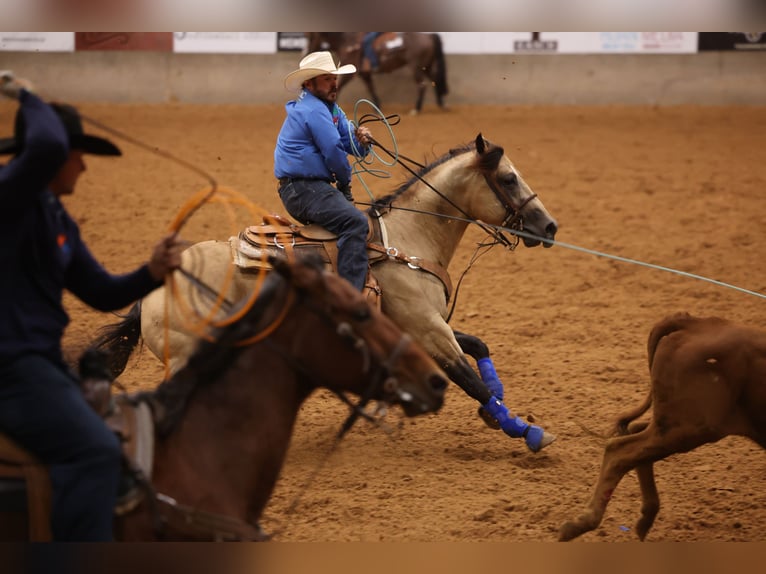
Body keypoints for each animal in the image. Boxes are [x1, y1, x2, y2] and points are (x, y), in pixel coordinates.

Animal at [108, 133, 559, 454]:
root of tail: (156, 288)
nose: (550, 226)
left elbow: (479, 347)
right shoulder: (428, 330)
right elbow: (467, 379)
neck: (408, 240)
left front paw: (497, 401)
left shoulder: (419, 327)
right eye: (508, 178)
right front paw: (527, 430)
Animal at [305, 32, 448, 115]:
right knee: (435, 80)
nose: (308, 52)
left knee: (422, 85)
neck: (347, 40)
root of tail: (429, 35)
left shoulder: (350, 71)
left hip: (417, 66)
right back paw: (442, 104)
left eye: (311, 36)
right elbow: (371, 87)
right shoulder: (363, 73)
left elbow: (338, 86)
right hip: (427, 66)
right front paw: (377, 105)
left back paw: (416, 109)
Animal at [559, 312, 766, 542]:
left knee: (636, 435)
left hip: (672, 425)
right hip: (687, 428)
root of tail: (696, 324)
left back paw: (644, 519)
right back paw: (579, 524)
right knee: (619, 450)